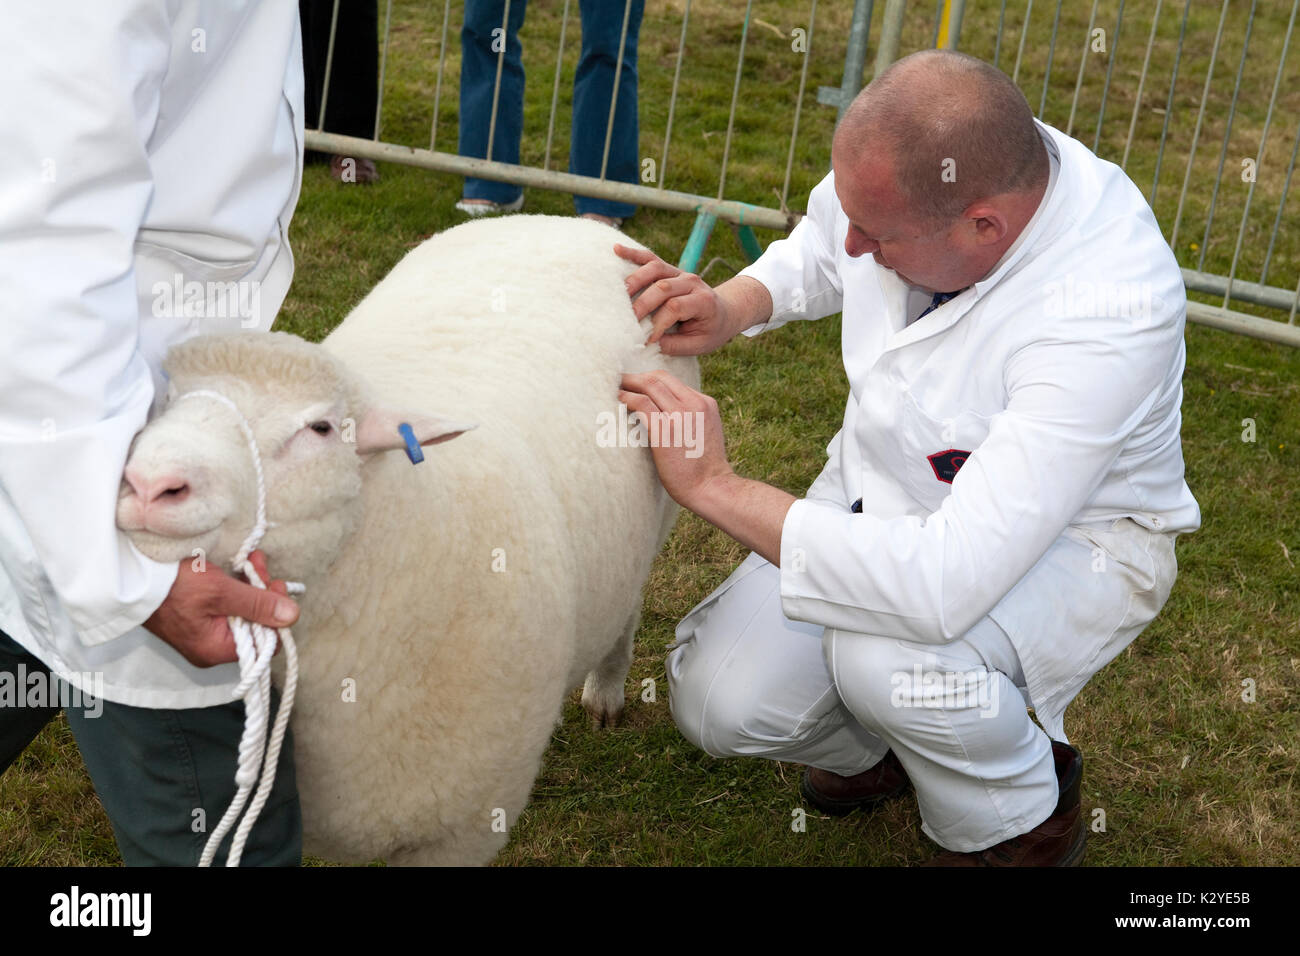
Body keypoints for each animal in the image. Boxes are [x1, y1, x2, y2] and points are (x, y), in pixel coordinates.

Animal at [115, 218, 702, 868]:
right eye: (168, 400)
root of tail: (573, 224)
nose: (149, 484)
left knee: (628, 603)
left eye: (321, 428)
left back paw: (606, 691)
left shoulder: (461, 829)